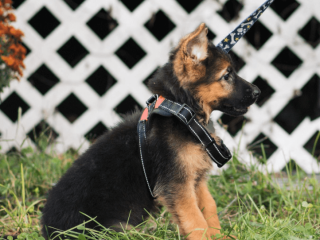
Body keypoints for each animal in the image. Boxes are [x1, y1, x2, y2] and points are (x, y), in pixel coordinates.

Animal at [41, 23, 260, 240]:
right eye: (227, 75)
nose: (258, 92)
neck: (182, 112)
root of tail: (49, 231)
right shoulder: (177, 185)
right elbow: (196, 220)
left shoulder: (195, 179)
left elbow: (209, 208)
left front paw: (220, 236)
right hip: (114, 229)